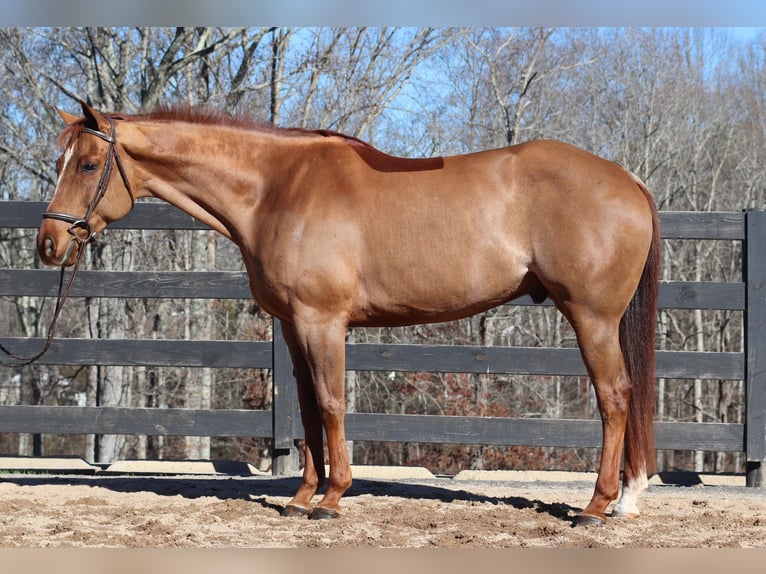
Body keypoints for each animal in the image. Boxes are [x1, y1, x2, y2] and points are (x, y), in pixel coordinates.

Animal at [37, 102, 660, 528]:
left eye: (88, 164)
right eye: (62, 161)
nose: (48, 244)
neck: (277, 189)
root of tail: (628, 179)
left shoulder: (323, 321)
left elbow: (333, 402)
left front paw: (333, 498)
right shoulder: (293, 326)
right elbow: (310, 410)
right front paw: (302, 497)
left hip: (591, 318)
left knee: (615, 398)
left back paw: (596, 505)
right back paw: (624, 500)